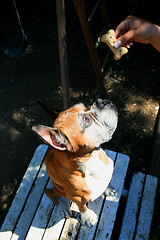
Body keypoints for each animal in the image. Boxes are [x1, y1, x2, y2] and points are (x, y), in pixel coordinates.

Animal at [31, 98, 118, 228]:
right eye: (87, 120)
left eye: (85, 105)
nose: (101, 102)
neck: (90, 161)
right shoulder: (76, 197)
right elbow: (82, 207)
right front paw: (87, 217)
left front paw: (107, 190)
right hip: (61, 190)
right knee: (49, 191)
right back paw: (63, 207)